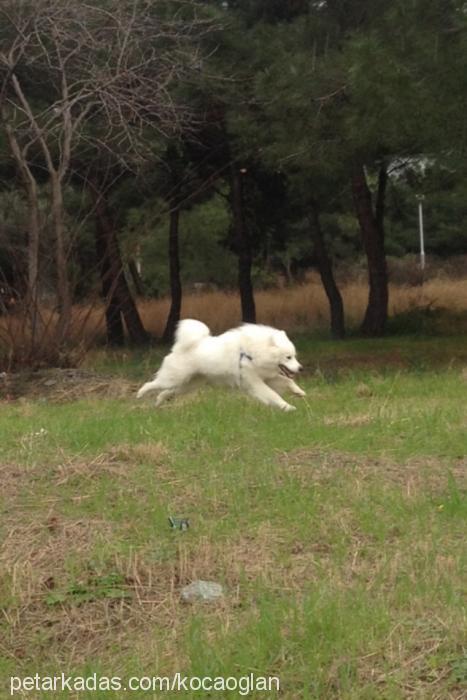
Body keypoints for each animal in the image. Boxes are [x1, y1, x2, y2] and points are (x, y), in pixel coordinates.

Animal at [137, 318, 306, 410]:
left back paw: (159, 402)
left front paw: (299, 392)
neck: (251, 353)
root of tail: (179, 348)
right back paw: (140, 394)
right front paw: (288, 407)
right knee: (151, 384)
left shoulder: (267, 377)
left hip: (189, 384)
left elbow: (288, 381)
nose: (301, 368)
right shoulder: (254, 382)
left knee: (166, 393)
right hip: (173, 379)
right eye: (288, 357)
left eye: (294, 357)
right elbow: (273, 396)